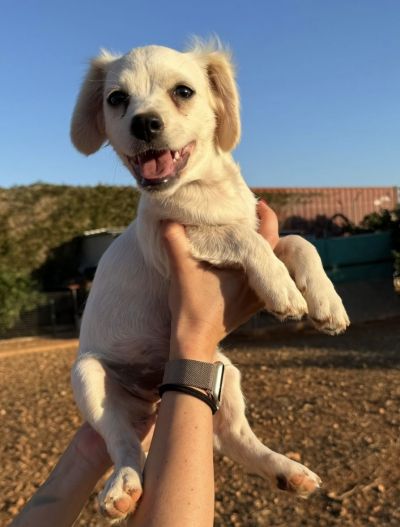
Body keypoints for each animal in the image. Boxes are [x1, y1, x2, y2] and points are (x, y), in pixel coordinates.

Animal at [70, 41, 349, 521]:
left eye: (183, 91)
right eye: (116, 98)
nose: (144, 122)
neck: (203, 191)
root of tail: (153, 396)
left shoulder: (267, 232)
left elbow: (298, 242)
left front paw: (327, 304)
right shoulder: (185, 237)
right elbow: (240, 236)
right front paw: (282, 289)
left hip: (225, 374)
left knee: (234, 438)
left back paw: (288, 471)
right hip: (89, 377)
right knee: (124, 445)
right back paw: (122, 488)